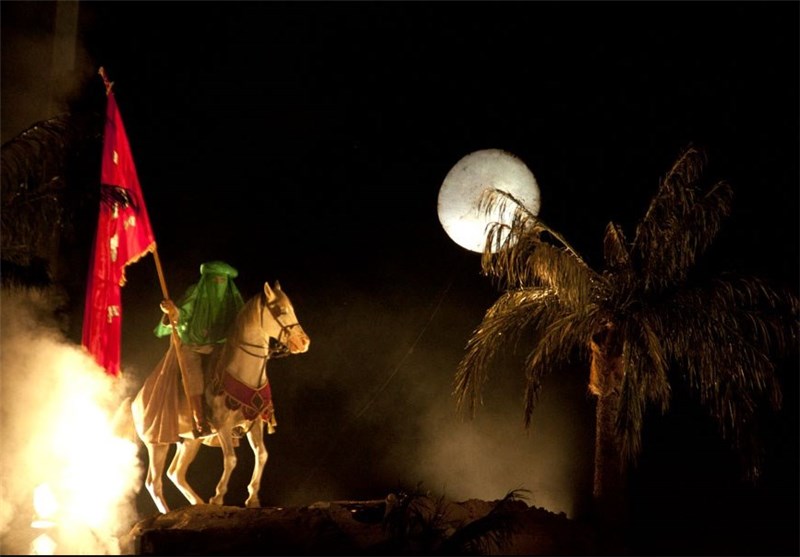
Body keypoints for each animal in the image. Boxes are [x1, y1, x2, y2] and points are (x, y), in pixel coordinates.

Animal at [127, 280, 310, 514]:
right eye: (280, 310)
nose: (303, 342)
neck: (242, 370)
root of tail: (136, 401)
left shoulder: (255, 422)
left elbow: (262, 454)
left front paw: (252, 498)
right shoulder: (223, 426)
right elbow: (231, 459)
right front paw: (218, 497)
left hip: (190, 441)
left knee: (175, 472)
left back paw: (198, 504)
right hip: (156, 443)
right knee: (154, 482)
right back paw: (171, 511)